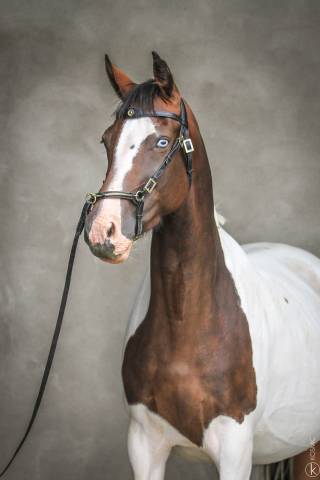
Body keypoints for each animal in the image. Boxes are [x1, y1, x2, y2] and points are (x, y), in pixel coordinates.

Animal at [83, 52, 320, 480]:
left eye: (161, 142)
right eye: (107, 140)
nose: (102, 231)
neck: (188, 319)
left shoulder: (234, 451)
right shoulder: (144, 446)